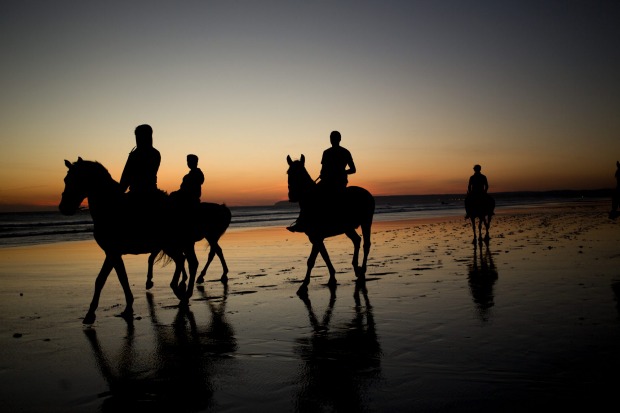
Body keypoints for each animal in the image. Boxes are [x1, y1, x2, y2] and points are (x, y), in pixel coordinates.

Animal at [59, 157, 207, 322]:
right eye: (66, 179)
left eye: (76, 179)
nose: (64, 207)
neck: (110, 208)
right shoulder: (111, 253)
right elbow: (106, 279)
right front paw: (94, 312)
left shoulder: (113, 253)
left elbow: (116, 279)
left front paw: (119, 308)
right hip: (173, 245)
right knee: (185, 261)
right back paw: (181, 291)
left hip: (175, 244)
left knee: (188, 262)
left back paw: (182, 291)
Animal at [284, 154, 372, 292]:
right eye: (288, 172)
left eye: (300, 172)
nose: (292, 195)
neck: (311, 202)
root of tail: (368, 193)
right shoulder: (314, 238)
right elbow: (324, 256)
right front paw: (331, 278)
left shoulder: (317, 237)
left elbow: (313, 260)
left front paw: (304, 285)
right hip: (348, 228)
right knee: (357, 240)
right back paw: (356, 268)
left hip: (366, 223)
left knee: (366, 245)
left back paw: (362, 271)